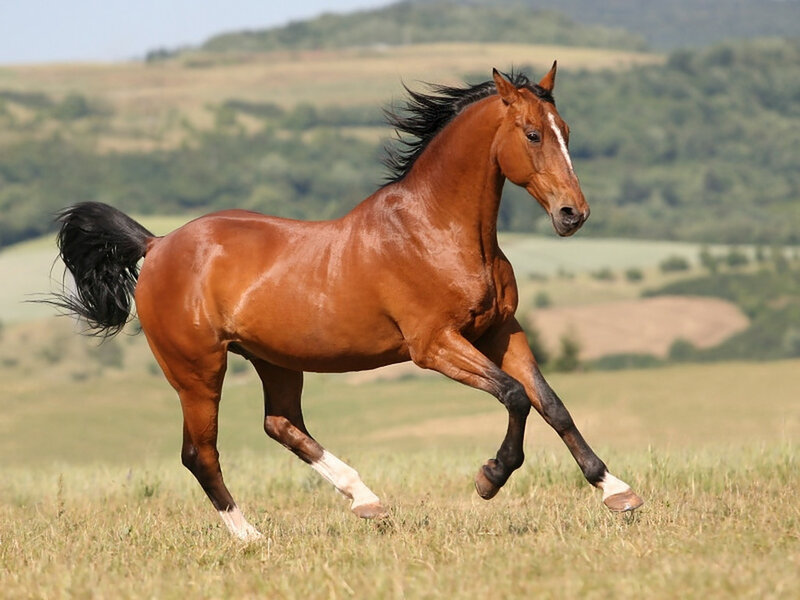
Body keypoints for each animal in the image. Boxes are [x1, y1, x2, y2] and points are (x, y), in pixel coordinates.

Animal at [48, 65, 643, 540]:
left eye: (567, 133)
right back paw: (251, 536)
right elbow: (516, 397)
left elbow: (552, 405)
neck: (436, 229)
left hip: (275, 360)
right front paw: (489, 479)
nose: (573, 214)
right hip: (197, 370)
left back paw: (365, 500)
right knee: (201, 453)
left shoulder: (501, 332)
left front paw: (617, 490)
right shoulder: (435, 345)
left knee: (281, 424)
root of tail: (156, 245)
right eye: (533, 134)